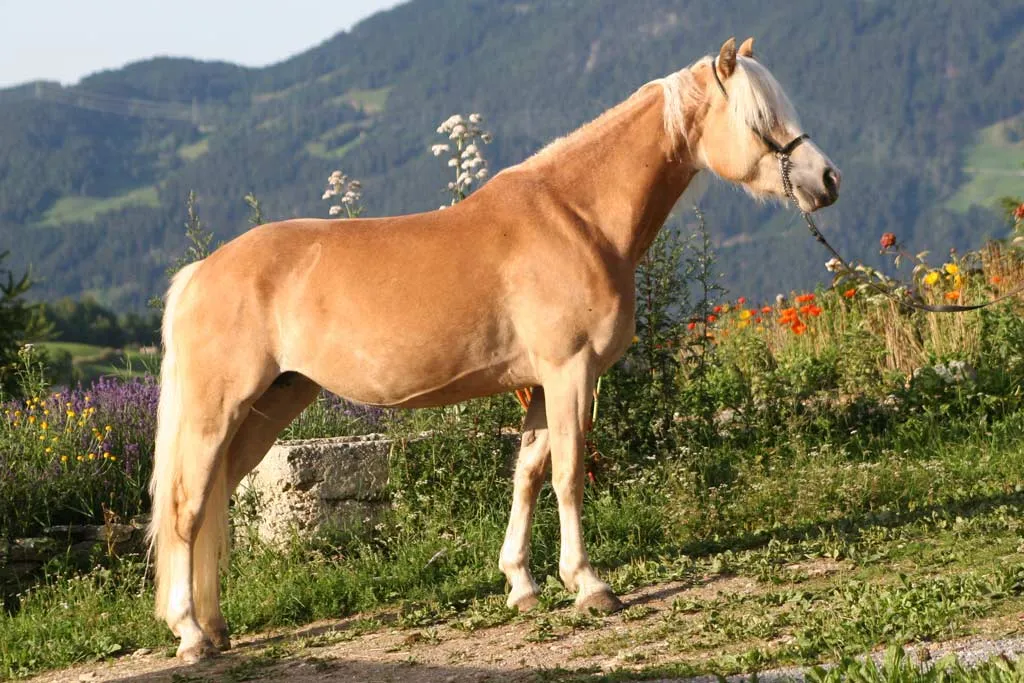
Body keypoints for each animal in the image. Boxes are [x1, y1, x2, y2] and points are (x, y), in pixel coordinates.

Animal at [149, 37, 840, 662]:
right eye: (760, 118)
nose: (827, 180)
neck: (578, 217)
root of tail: (200, 273)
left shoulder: (541, 383)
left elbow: (529, 474)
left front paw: (522, 585)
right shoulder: (570, 372)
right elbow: (567, 474)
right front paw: (589, 586)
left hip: (270, 406)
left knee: (214, 501)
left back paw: (215, 629)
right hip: (218, 410)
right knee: (187, 507)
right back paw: (191, 637)